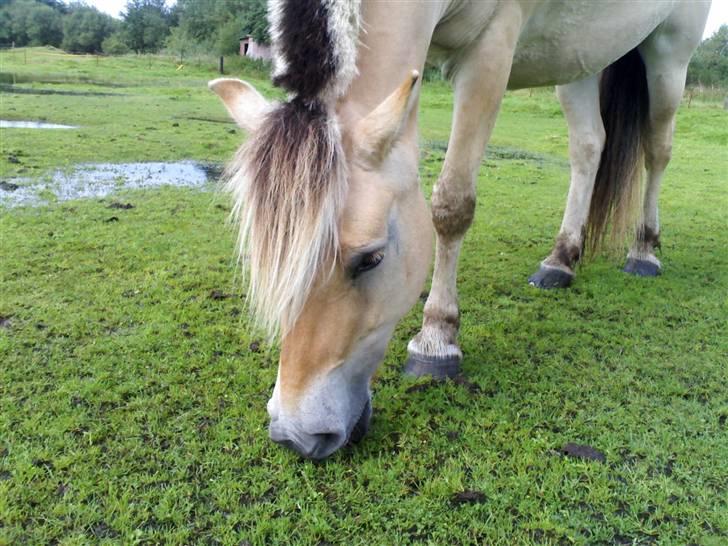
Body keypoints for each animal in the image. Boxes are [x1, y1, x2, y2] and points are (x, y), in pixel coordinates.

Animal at [209, 0, 712, 456]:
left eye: (371, 258)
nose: (297, 436)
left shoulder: (490, 49)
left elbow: (453, 204)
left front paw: (436, 339)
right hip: (583, 54)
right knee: (589, 147)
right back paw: (561, 259)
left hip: (670, 51)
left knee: (658, 147)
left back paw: (644, 251)